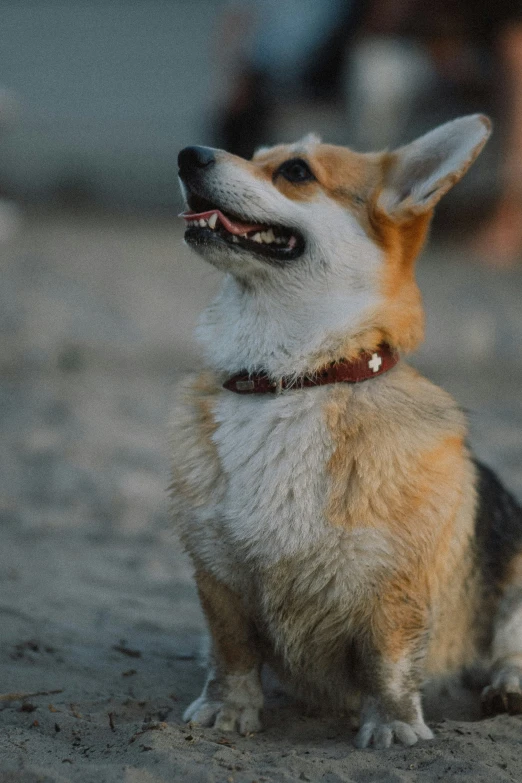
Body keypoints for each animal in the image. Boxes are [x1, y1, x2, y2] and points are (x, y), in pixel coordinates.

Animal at [170, 115, 520, 748]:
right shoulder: (217, 575)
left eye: (296, 170)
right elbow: (232, 652)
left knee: (508, 647)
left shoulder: (396, 590)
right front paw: (227, 708)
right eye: (256, 153)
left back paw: (507, 685)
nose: (188, 155)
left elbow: (390, 663)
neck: (294, 380)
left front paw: (395, 727)